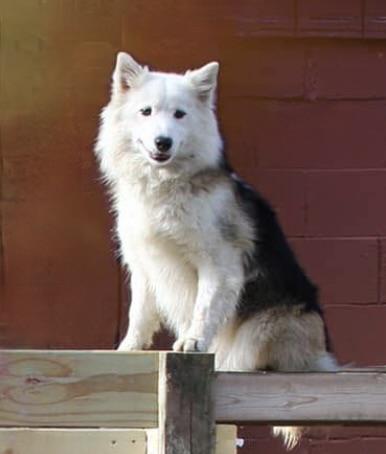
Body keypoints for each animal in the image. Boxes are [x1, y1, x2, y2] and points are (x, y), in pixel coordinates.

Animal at [95, 52, 336, 446]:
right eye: (146, 111)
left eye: (180, 114)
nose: (162, 142)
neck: (169, 184)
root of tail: (324, 358)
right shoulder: (145, 266)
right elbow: (139, 313)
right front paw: (129, 349)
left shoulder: (218, 264)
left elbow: (204, 308)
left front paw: (192, 341)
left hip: (272, 326)